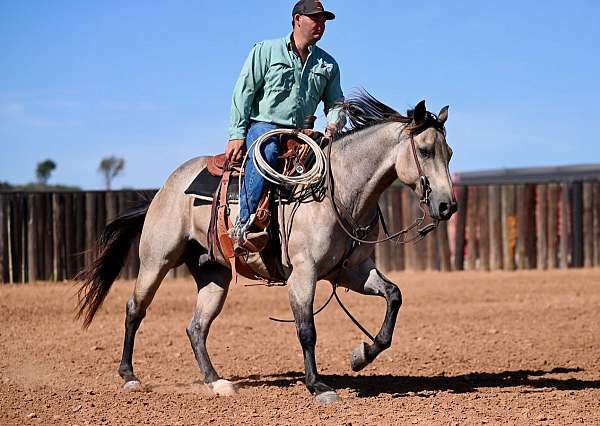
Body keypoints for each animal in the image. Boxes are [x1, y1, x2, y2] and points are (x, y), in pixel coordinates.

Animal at [77, 91, 458, 404]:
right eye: (425, 150)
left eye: (450, 153)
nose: (447, 206)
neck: (339, 192)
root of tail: (163, 189)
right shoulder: (303, 274)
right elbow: (306, 330)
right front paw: (318, 386)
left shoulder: (352, 271)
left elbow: (394, 296)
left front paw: (361, 355)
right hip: (156, 261)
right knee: (135, 310)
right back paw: (129, 377)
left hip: (214, 274)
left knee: (196, 327)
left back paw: (217, 382)